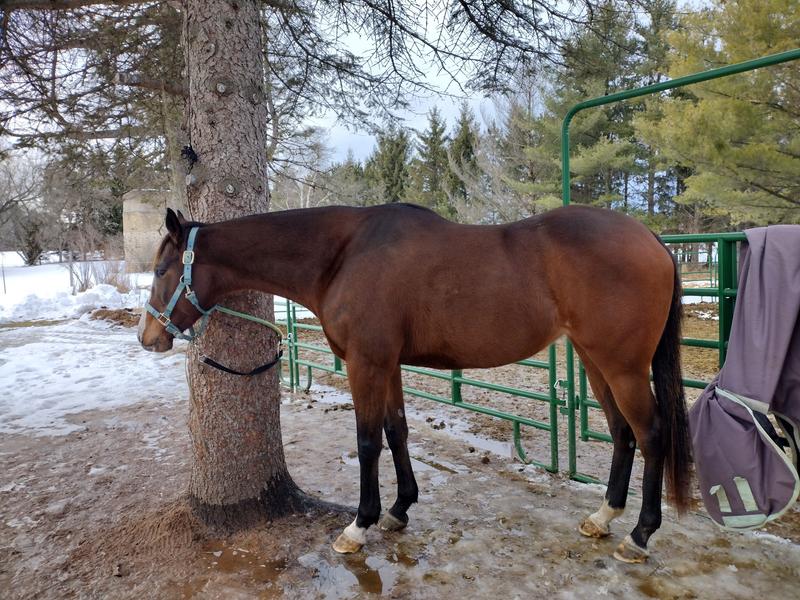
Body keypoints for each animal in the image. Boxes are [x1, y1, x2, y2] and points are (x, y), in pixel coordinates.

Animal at [138, 203, 691, 563]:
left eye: (162, 268)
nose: (148, 337)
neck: (344, 255)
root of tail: (654, 241)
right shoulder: (389, 365)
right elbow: (397, 431)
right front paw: (400, 509)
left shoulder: (367, 364)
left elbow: (367, 441)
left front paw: (358, 526)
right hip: (595, 361)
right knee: (621, 433)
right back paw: (603, 517)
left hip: (621, 366)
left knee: (650, 434)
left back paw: (640, 535)